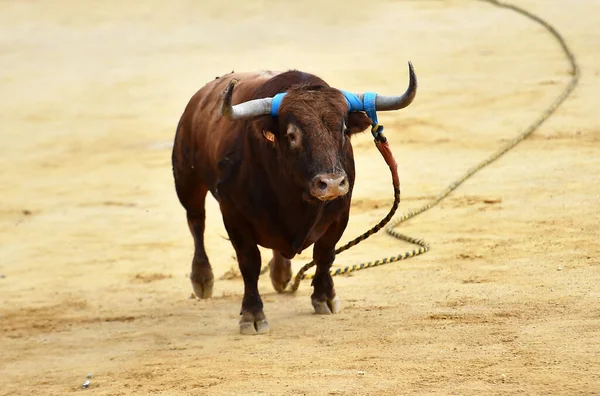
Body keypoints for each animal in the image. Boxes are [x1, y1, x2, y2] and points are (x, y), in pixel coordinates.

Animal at [172, 65, 418, 334]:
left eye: (344, 130)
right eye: (291, 135)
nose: (332, 183)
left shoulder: (340, 212)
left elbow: (325, 254)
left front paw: (324, 297)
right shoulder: (234, 215)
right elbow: (249, 263)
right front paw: (252, 315)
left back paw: (281, 275)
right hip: (187, 180)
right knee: (197, 222)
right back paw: (202, 279)